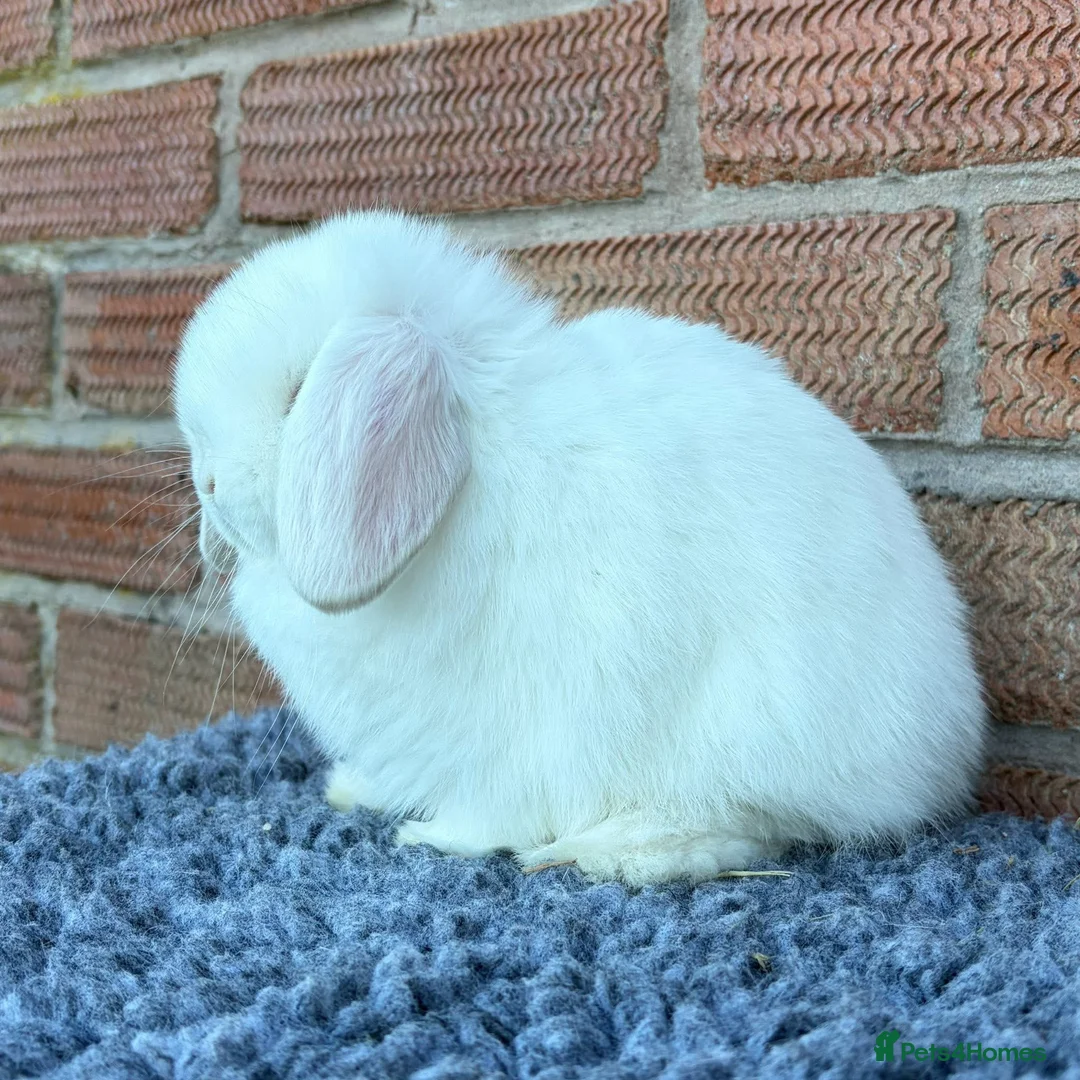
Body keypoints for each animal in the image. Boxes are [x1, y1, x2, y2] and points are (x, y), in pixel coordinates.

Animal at [173, 210, 986, 886]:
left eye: (298, 394)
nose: (207, 483)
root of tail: (945, 749)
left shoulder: (508, 727)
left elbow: (492, 807)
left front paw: (434, 839)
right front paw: (354, 788)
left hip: (746, 729)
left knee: (747, 823)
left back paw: (614, 851)